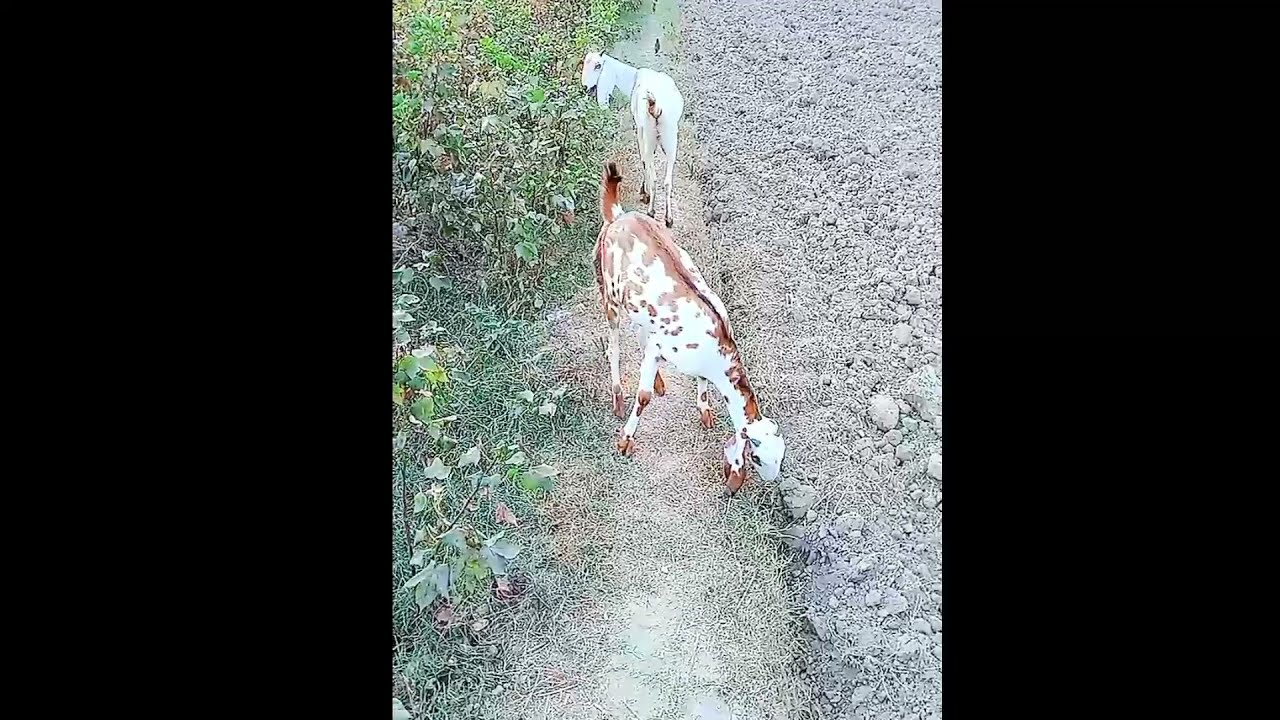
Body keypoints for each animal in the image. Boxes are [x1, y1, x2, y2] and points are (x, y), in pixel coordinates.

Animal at [580, 51, 684, 228]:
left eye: (598, 66)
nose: (586, 87)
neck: (634, 78)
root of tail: (656, 108)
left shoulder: (640, 129)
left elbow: (643, 161)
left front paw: (644, 193)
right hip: (671, 140)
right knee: (667, 181)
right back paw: (668, 219)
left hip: (649, 136)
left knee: (653, 174)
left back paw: (651, 211)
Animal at [595, 161, 785, 494]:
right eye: (758, 457)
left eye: (781, 457)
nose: (771, 479)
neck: (715, 352)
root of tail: (619, 214)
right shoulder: (660, 348)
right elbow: (642, 397)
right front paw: (625, 441)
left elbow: (700, 382)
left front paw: (704, 412)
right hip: (611, 295)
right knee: (614, 346)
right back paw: (618, 396)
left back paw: (658, 381)